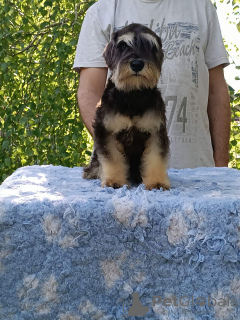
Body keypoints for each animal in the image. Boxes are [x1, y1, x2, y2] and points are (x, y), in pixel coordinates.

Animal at [82, 25, 171, 191]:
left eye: (150, 46)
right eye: (123, 46)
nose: (136, 64)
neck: (132, 95)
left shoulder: (156, 131)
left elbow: (155, 158)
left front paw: (157, 182)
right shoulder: (107, 132)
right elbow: (113, 159)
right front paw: (114, 181)